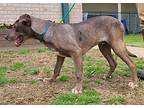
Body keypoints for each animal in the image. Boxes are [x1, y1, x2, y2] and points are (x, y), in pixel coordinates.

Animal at [5, 13, 138, 93]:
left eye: (15, 27)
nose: (5, 37)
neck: (47, 30)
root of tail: (118, 21)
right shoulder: (60, 55)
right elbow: (56, 70)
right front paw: (50, 80)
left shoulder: (76, 53)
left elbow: (78, 73)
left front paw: (78, 89)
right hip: (104, 47)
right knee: (113, 63)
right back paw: (107, 76)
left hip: (117, 46)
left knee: (132, 64)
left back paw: (134, 83)